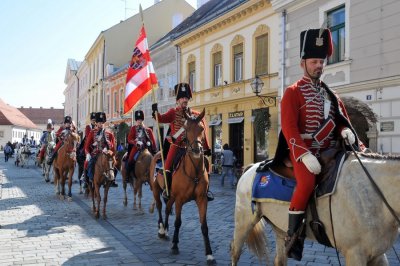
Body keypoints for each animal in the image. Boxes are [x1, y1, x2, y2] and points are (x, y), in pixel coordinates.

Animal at [162, 109, 216, 264]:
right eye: (186, 129)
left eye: (202, 128)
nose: (197, 150)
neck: (194, 172)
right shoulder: (179, 199)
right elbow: (178, 222)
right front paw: (175, 245)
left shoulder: (202, 200)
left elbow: (204, 226)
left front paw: (209, 253)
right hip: (171, 196)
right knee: (166, 210)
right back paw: (163, 231)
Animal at [230, 152, 400, 266]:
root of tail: (253, 166)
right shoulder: (355, 254)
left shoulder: (378, 254)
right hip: (244, 220)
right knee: (235, 251)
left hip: (280, 229)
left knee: (279, 260)